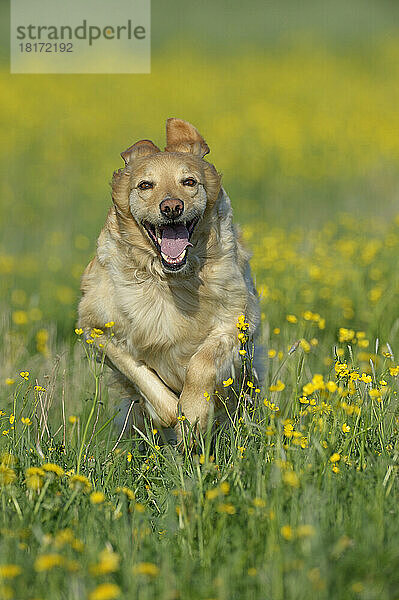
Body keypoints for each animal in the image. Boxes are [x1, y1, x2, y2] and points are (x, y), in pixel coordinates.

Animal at [77, 117, 260, 438]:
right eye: (145, 185)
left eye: (189, 182)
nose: (172, 207)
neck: (167, 279)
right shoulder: (96, 329)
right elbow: (139, 373)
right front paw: (173, 414)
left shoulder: (233, 322)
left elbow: (202, 363)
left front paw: (194, 413)